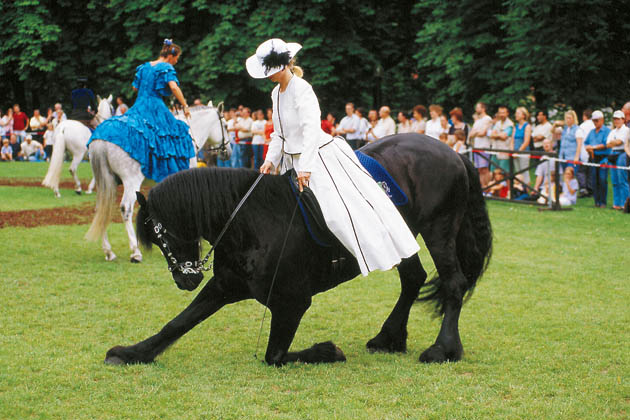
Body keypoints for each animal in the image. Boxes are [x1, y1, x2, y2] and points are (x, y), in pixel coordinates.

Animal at [85, 103, 231, 262]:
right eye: (225, 126)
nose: (228, 152)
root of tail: (102, 139)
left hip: (105, 183)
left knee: (101, 209)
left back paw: (108, 251)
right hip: (131, 182)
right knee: (125, 209)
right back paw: (135, 251)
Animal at [105, 134, 494, 364]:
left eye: (162, 235)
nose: (184, 279)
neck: (250, 222)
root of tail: (452, 152)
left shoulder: (291, 303)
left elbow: (275, 354)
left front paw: (327, 350)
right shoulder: (223, 287)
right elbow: (178, 323)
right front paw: (132, 352)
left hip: (438, 230)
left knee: (454, 284)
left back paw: (443, 349)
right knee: (413, 278)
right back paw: (390, 337)